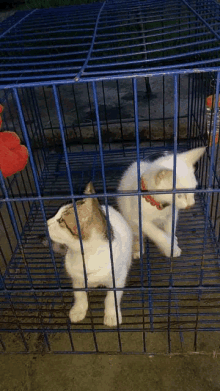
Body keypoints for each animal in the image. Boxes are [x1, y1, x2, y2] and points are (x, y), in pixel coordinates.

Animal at [46, 184, 132, 328]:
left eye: (61, 220)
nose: (46, 222)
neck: (86, 256)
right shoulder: (76, 277)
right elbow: (79, 294)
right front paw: (78, 310)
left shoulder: (118, 278)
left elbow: (111, 298)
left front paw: (112, 314)